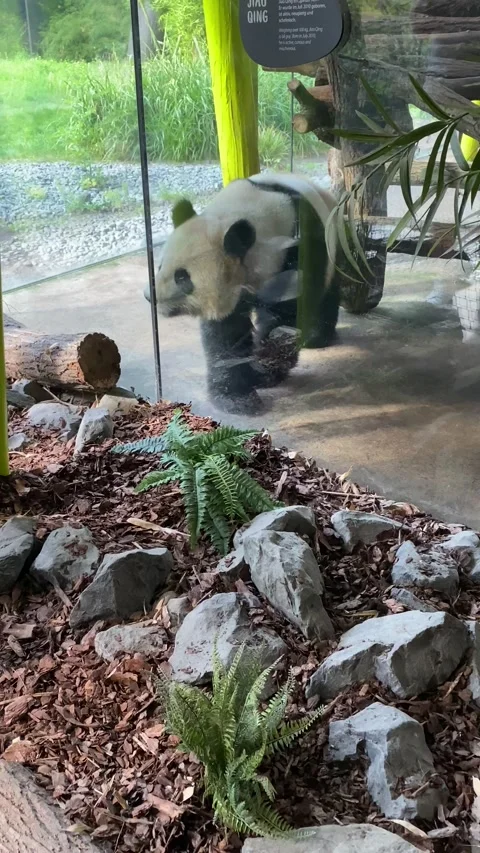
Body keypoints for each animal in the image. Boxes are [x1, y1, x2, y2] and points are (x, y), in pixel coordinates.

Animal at [146, 172, 341, 414]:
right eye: (160, 266)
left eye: (182, 278)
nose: (150, 296)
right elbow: (226, 334)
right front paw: (236, 396)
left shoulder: (297, 252)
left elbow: (286, 316)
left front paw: (266, 369)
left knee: (328, 292)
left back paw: (316, 336)